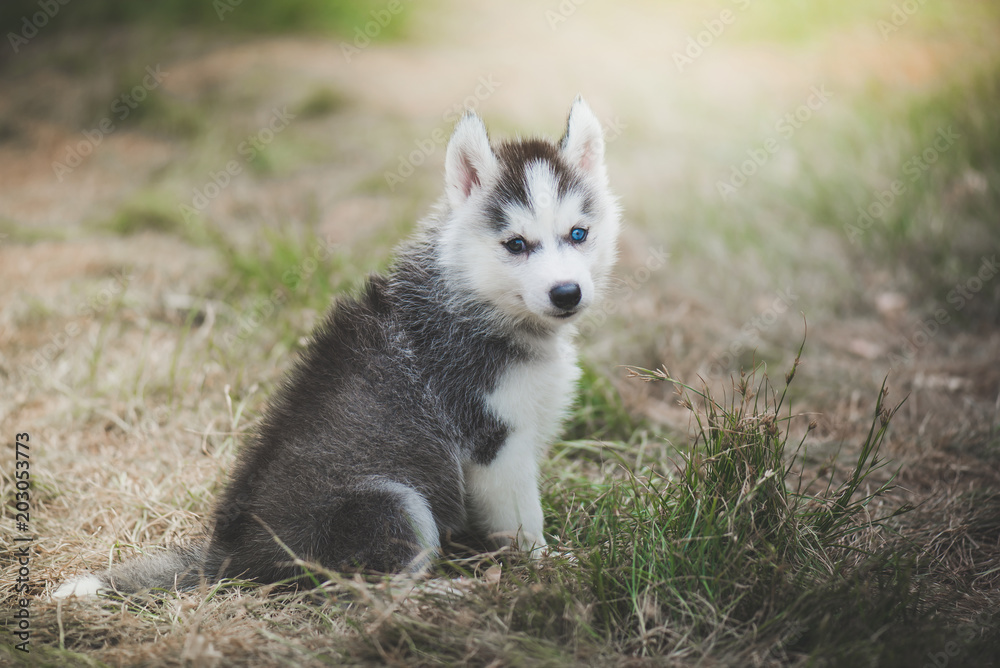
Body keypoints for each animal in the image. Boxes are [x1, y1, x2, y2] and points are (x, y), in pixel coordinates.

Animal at [54, 96, 620, 596]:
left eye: (578, 234)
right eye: (516, 244)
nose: (567, 293)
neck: (481, 304)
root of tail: (234, 555)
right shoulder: (494, 442)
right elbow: (522, 521)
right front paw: (548, 566)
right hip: (393, 502)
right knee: (372, 588)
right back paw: (446, 595)